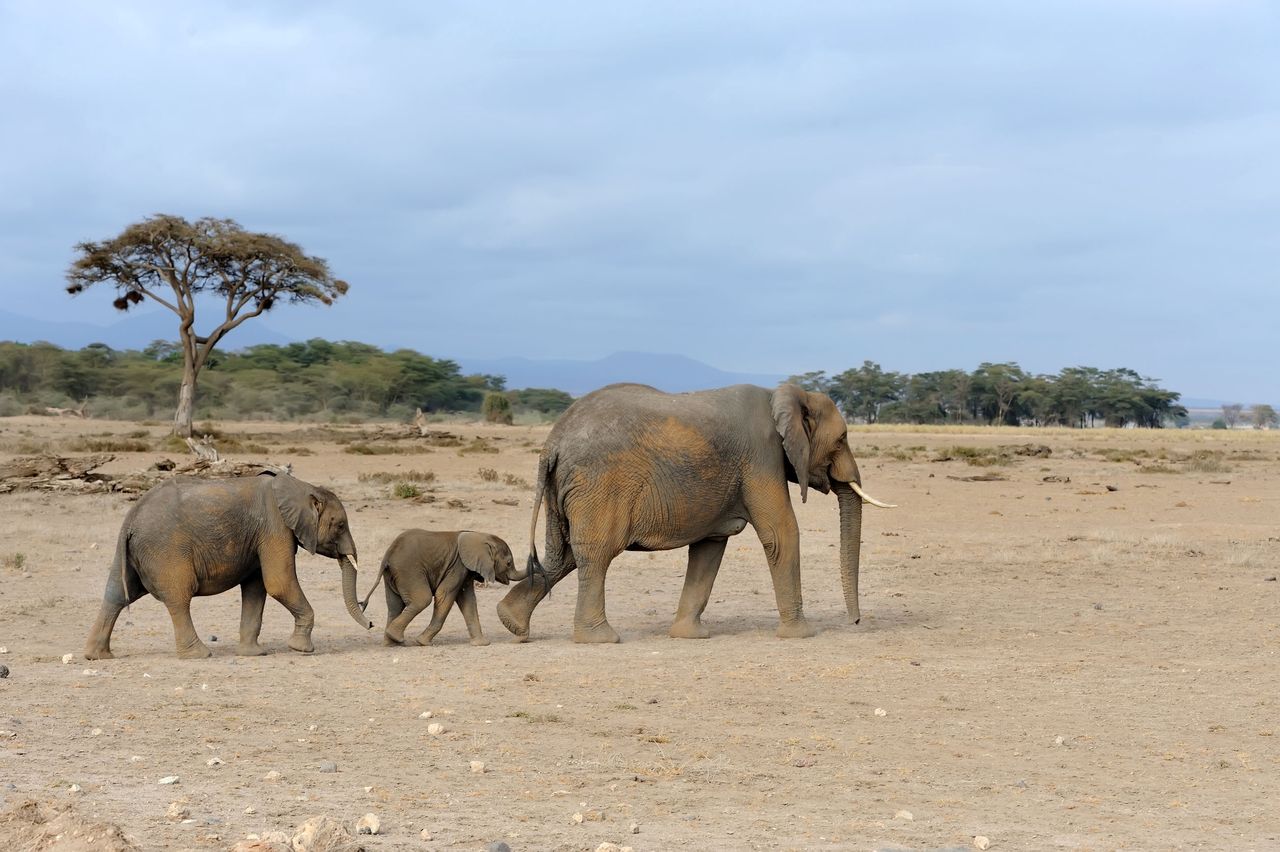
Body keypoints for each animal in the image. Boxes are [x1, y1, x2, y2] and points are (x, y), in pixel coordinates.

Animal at [83, 470, 371, 654]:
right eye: (340, 525)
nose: (371, 623)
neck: (300, 487)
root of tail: (130, 518)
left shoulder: (261, 537)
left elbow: (256, 588)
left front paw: (254, 653)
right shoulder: (274, 528)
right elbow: (278, 582)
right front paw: (302, 649)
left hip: (134, 553)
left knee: (116, 595)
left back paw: (97, 655)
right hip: (166, 550)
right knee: (179, 598)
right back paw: (199, 654)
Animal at [360, 527, 524, 639]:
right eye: (509, 563)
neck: (479, 535)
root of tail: (388, 554)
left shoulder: (464, 570)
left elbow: (468, 600)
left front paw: (481, 643)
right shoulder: (458, 566)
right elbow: (443, 595)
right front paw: (422, 642)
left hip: (392, 575)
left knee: (394, 605)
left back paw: (392, 642)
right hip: (409, 571)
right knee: (422, 599)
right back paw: (395, 637)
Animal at [494, 381, 896, 639]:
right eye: (842, 439)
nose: (855, 622)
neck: (782, 394)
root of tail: (553, 441)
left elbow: (709, 547)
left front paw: (689, 635)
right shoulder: (761, 456)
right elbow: (780, 533)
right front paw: (802, 634)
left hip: (566, 488)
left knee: (561, 554)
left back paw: (511, 623)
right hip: (598, 484)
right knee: (595, 553)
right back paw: (600, 638)